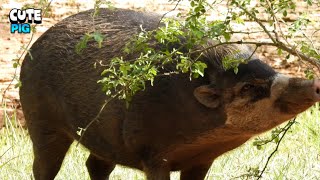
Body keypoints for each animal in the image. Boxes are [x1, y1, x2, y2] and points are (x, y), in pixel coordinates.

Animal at [19, 8, 320, 180]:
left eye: (269, 68)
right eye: (247, 87)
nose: (316, 83)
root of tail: (34, 46)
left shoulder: (201, 160)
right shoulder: (152, 152)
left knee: (95, 164)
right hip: (39, 119)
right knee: (44, 166)